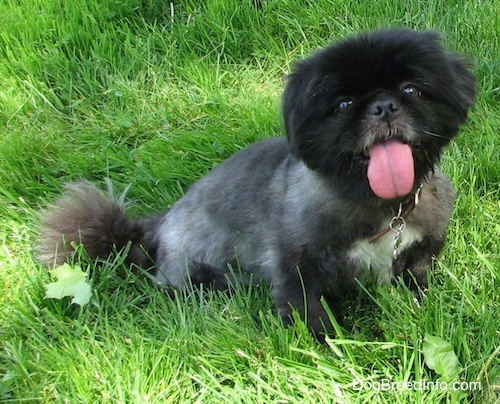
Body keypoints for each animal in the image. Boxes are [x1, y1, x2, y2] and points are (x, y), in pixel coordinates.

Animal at [37, 30, 474, 336]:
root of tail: (157, 226)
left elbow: (417, 278)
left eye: (411, 89)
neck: (378, 204)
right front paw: (328, 347)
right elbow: (309, 313)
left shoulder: (421, 251)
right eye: (344, 104)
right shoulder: (295, 269)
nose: (383, 106)